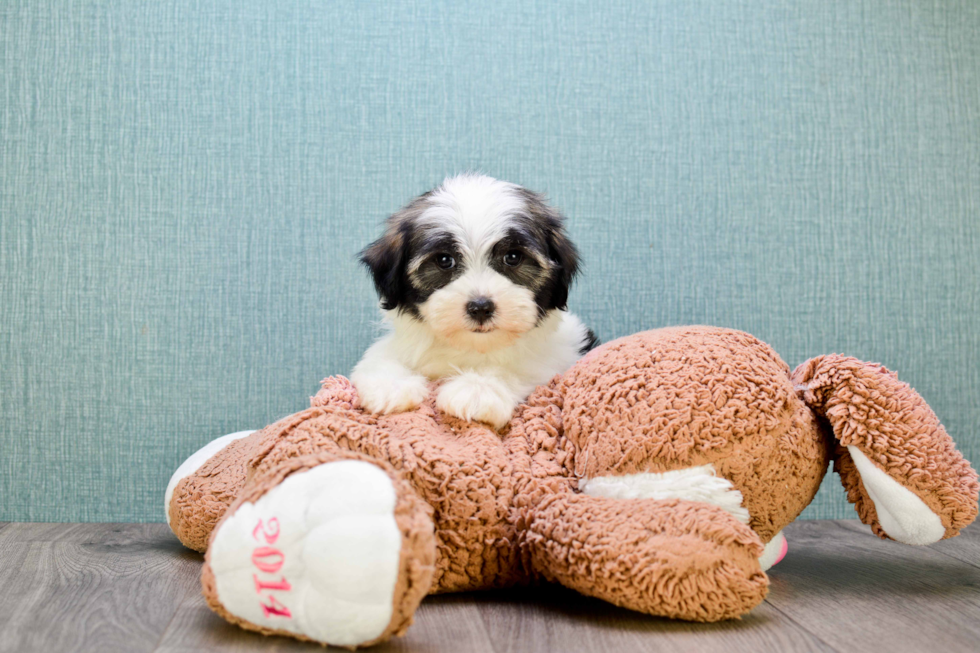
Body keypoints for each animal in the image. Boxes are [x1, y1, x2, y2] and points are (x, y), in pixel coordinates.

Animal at [352, 173, 596, 430]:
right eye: (444, 260)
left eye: (513, 257)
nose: (480, 308)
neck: (471, 347)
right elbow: (381, 354)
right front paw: (391, 385)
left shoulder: (558, 356)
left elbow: (520, 366)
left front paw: (478, 389)